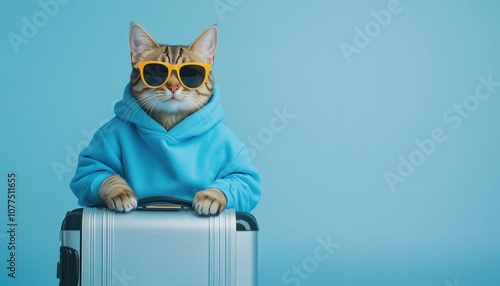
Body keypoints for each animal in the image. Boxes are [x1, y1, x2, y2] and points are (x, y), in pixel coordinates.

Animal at [70, 22, 262, 214]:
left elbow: (239, 179)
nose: (173, 86)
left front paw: (211, 196)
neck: (170, 120)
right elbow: (103, 175)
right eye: (156, 71)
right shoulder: (98, 152)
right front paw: (119, 192)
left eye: (191, 73)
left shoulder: (240, 167)